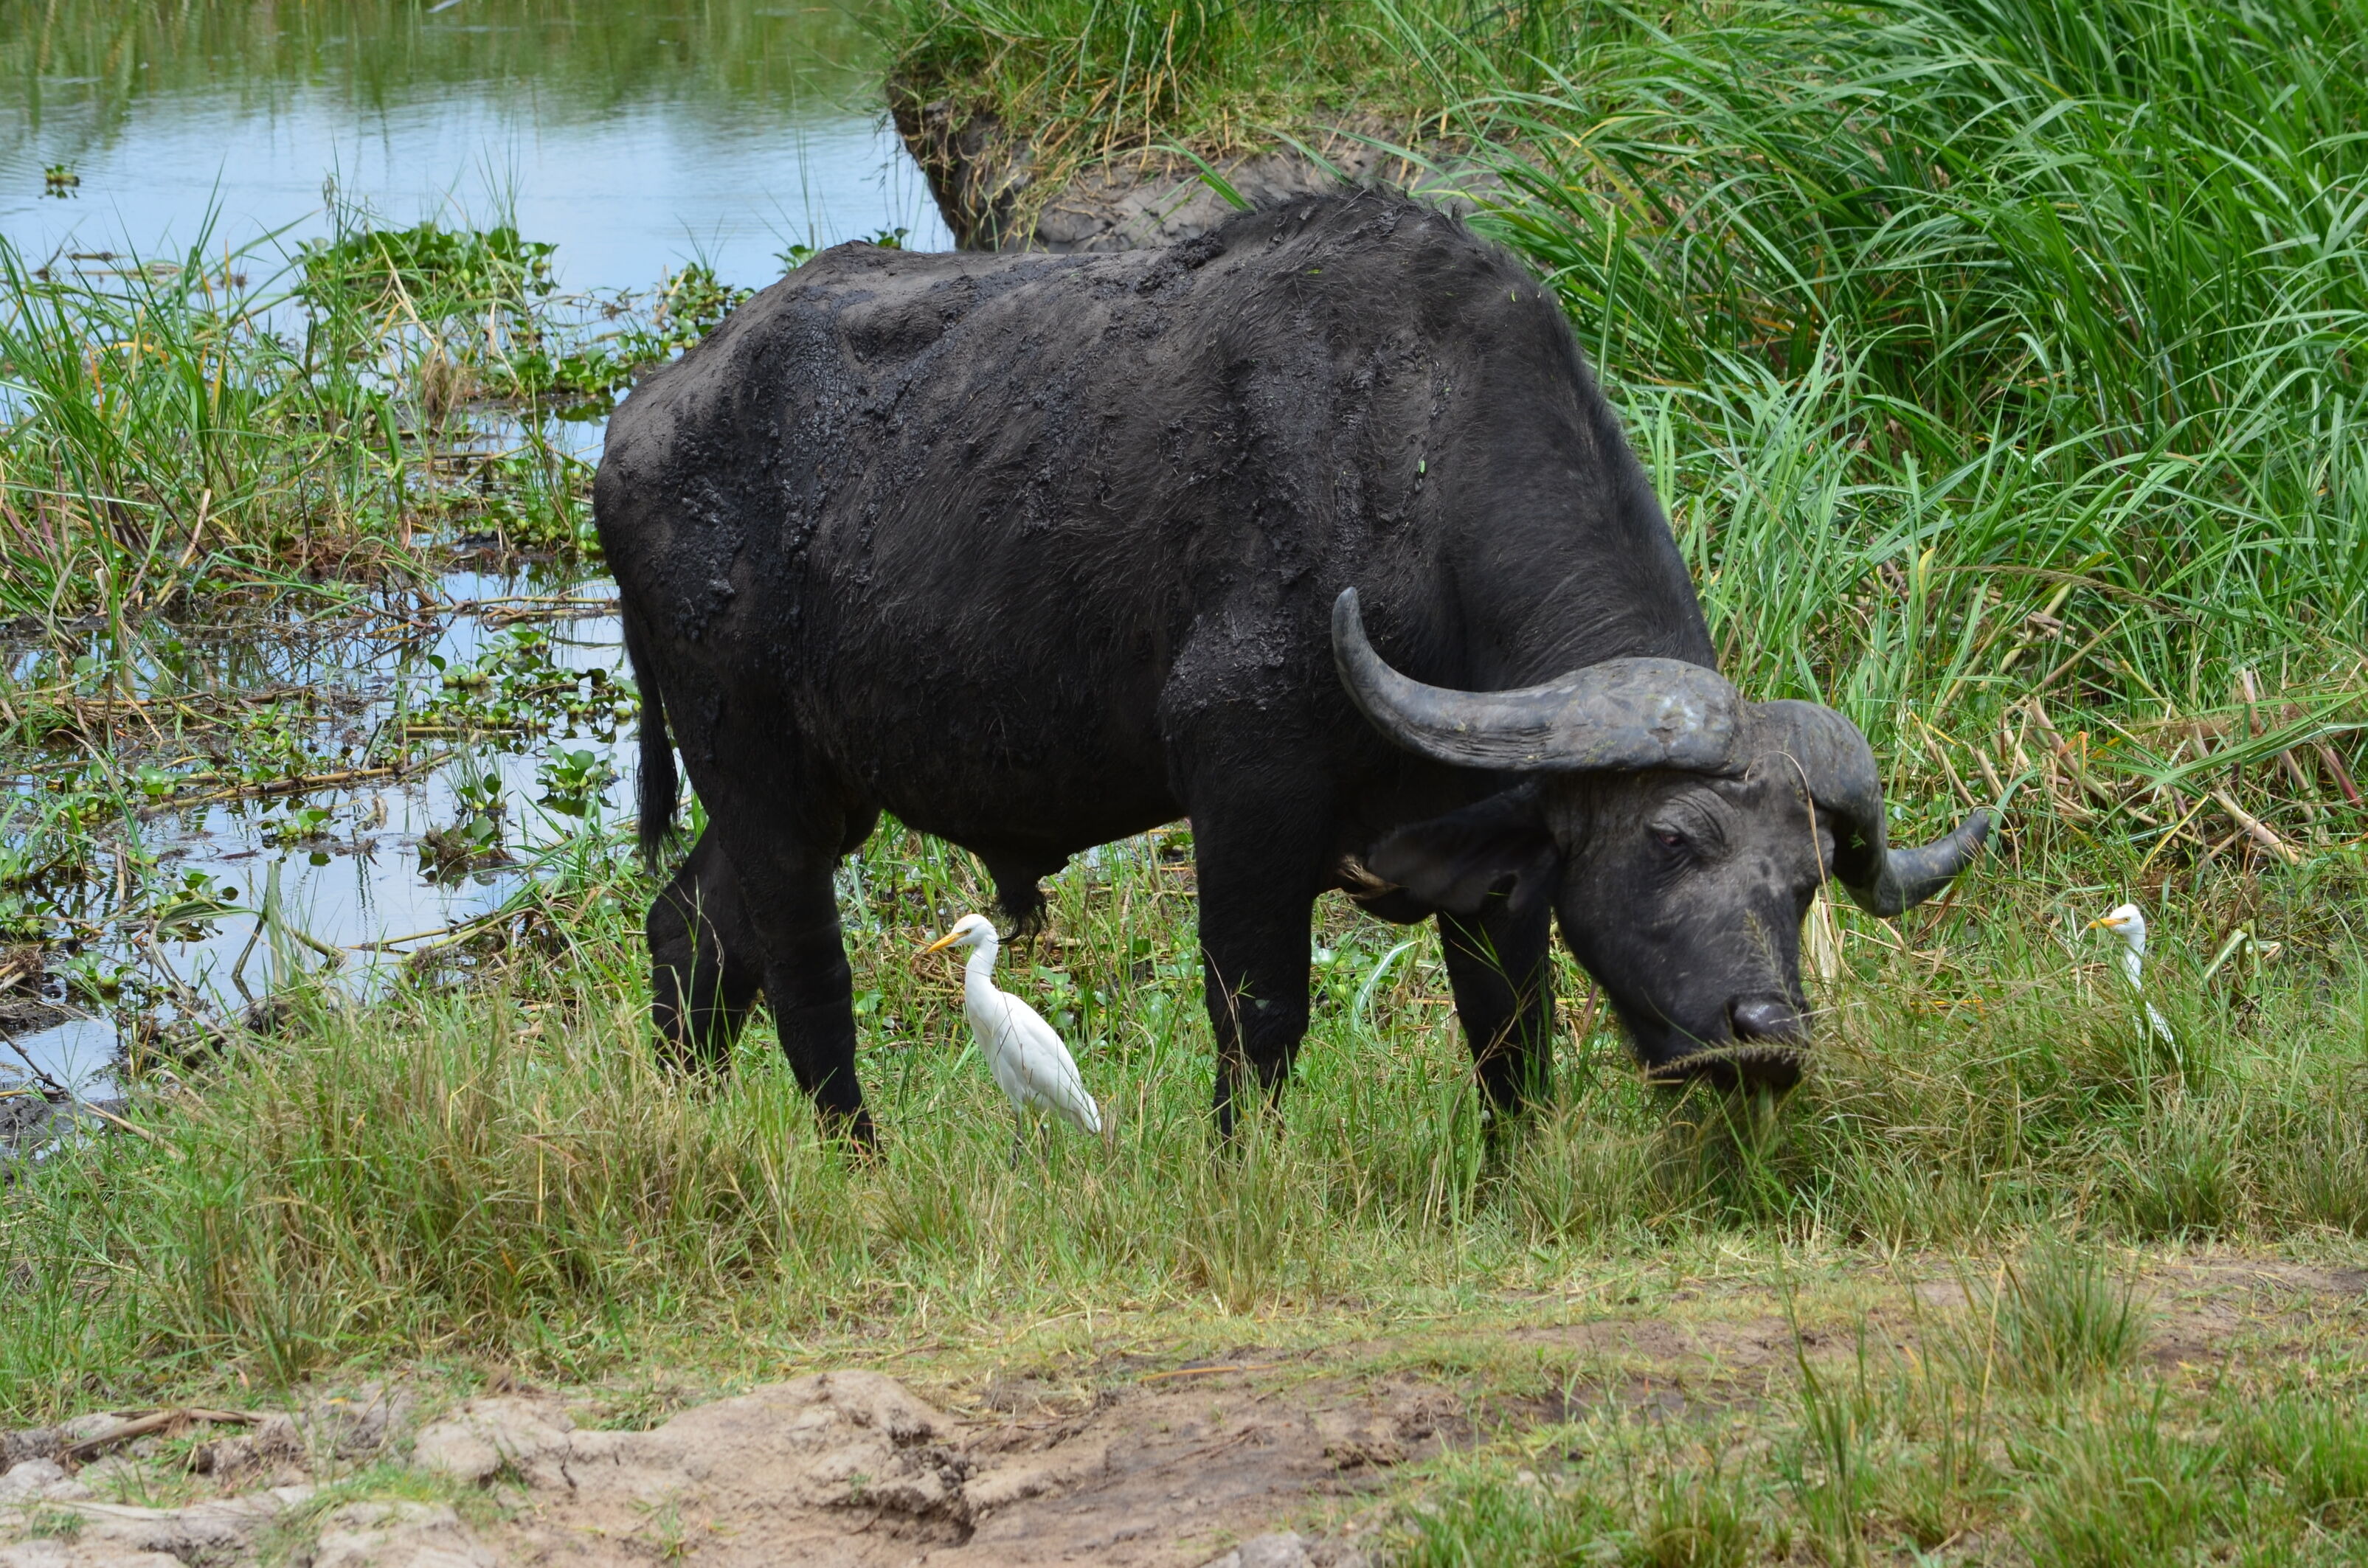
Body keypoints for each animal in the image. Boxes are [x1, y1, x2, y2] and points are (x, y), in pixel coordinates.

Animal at [595, 192, 1988, 1146]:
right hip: (758, 771)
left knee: (690, 933)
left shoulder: (1495, 867)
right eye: (1674, 840)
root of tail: (639, 419)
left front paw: (1512, 1173)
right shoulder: (1244, 794)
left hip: (819, 792)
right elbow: (1257, 1015)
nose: (1766, 1039)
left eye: (1804, 879)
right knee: (805, 978)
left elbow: (1512, 1035)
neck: (1413, 480)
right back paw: (862, 1157)